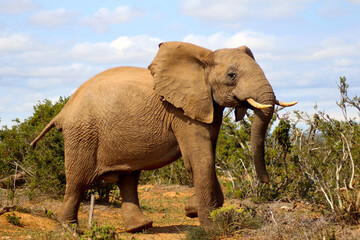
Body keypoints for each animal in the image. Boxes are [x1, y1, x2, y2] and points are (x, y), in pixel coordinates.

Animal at [30, 41, 296, 232]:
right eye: (232, 75)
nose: (267, 183)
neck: (204, 57)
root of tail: (63, 111)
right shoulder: (181, 112)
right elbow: (201, 160)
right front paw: (212, 228)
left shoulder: (207, 106)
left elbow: (206, 156)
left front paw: (192, 209)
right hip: (83, 131)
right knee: (79, 179)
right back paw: (70, 229)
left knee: (128, 178)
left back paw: (140, 227)